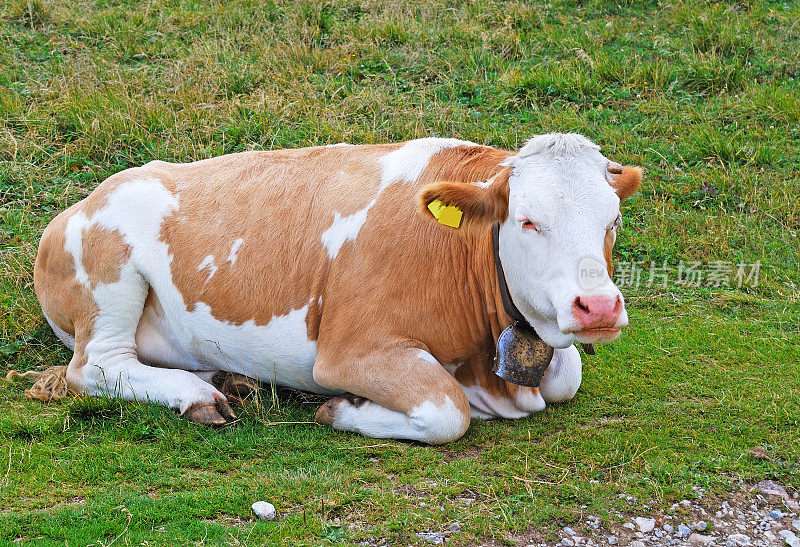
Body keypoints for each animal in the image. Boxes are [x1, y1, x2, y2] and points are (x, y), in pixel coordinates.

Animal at [32, 134, 644, 446]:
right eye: (527, 221)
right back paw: (197, 396)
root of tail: (78, 204)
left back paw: (224, 379)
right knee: (97, 368)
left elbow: (567, 376)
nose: (598, 307)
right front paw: (342, 409)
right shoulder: (351, 348)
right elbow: (447, 411)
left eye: (613, 219)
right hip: (110, 275)